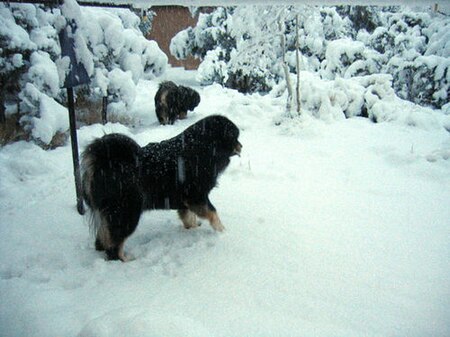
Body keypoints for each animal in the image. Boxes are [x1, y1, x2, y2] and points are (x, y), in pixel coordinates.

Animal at [81, 115, 243, 260]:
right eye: (235, 137)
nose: (241, 146)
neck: (203, 148)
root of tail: (102, 164)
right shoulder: (196, 197)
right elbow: (213, 213)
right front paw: (223, 232)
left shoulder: (186, 201)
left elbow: (189, 217)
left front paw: (193, 229)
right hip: (126, 213)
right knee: (115, 245)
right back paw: (126, 259)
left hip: (109, 214)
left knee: (103, 237)